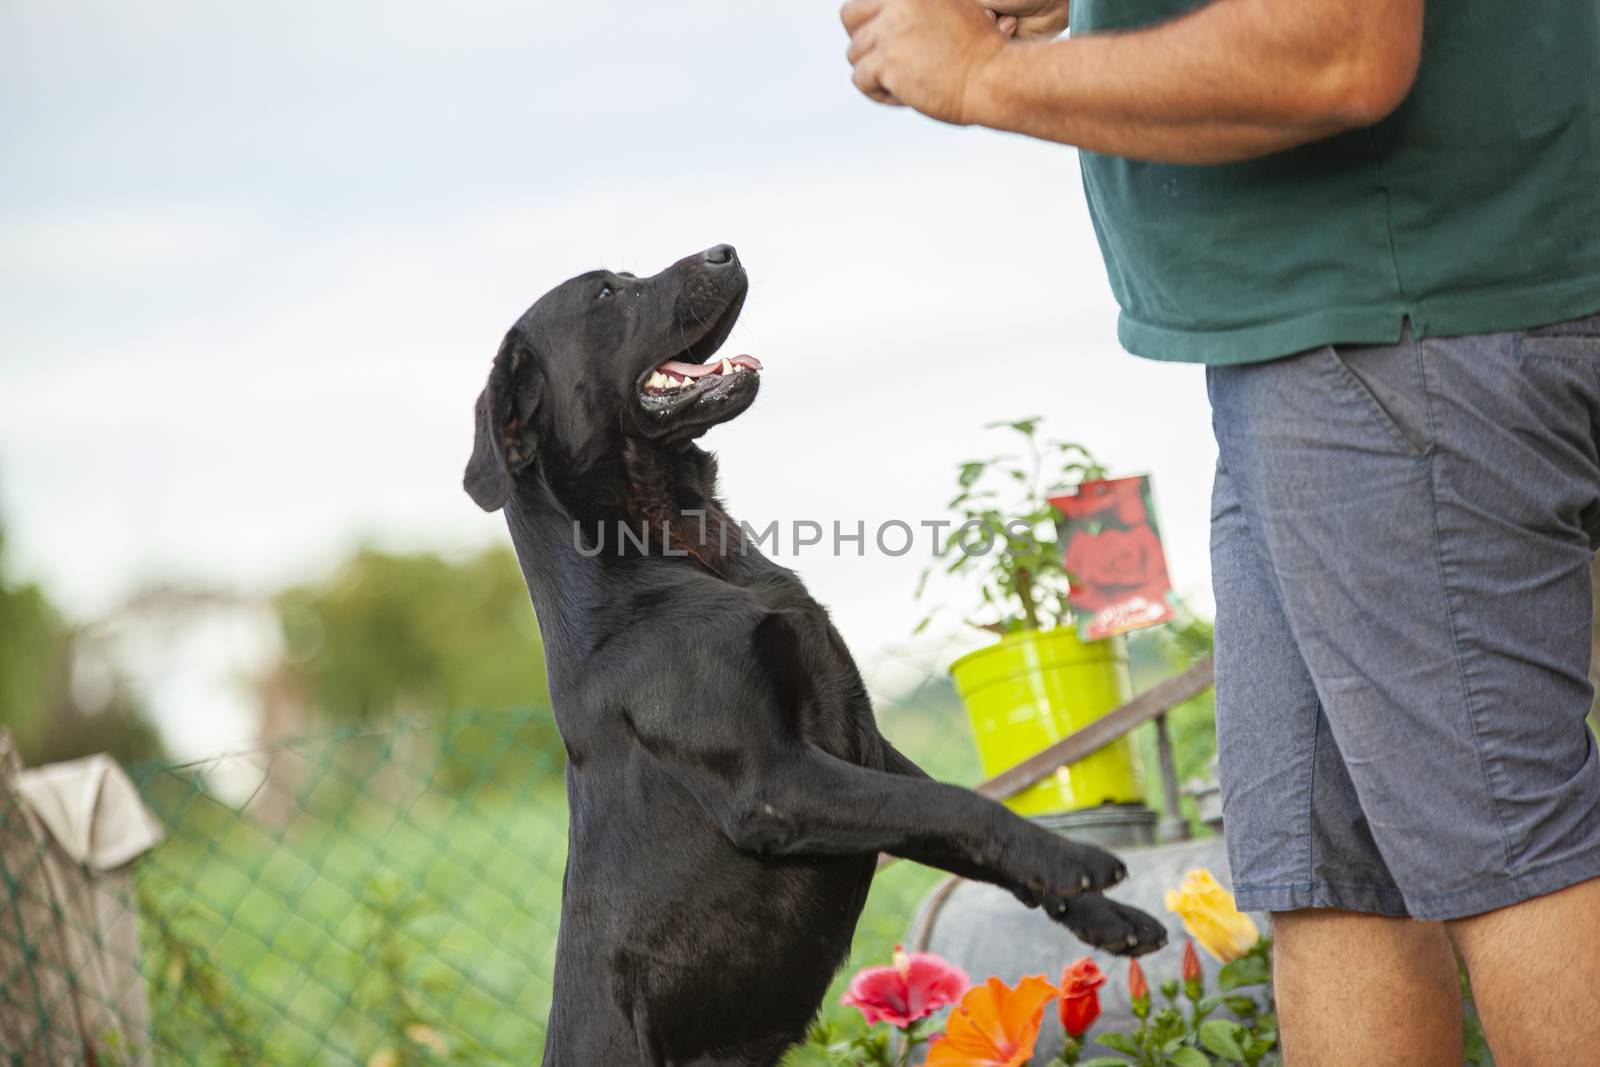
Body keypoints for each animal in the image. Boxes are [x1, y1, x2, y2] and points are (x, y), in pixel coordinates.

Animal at [464, 246, 1164, 1062]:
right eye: (607, 293)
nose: (726, 250)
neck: (678, 547)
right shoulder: (775, 782)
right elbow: (955, 803)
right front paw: (1073, 861)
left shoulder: (863, 745)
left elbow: (951, 811)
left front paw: (1105, 916)